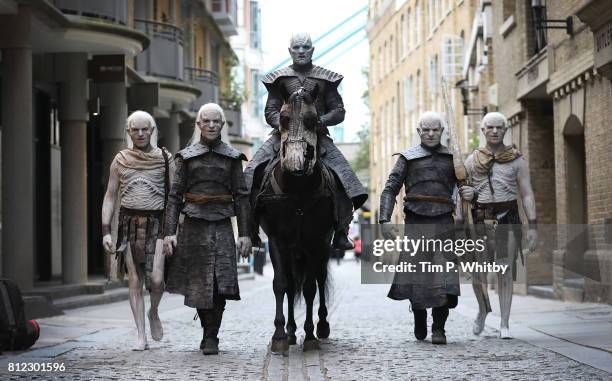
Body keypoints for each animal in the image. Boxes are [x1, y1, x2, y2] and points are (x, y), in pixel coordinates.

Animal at [247, 87, 334, 354]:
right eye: (283, 119)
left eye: (313, 120)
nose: (296, 162)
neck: (296, 192)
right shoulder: (278, 241)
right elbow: (281, 285)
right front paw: (280, 335)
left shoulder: (315, 242)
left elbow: (310, 289)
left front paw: (310, 335)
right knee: (292, 285)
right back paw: (291, 332)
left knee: (318, 280)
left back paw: (321, 327)